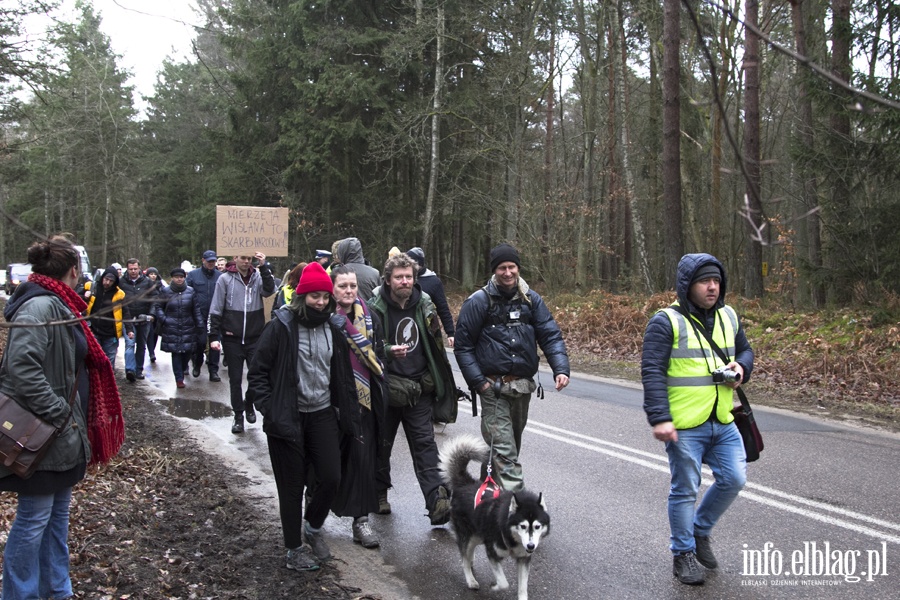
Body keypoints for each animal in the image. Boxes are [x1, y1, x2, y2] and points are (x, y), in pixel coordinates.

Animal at [438, 436, 548, 600]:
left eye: (537, 526)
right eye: (522, 526)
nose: (531, 546)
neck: (512, 538)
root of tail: (465, 483)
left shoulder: (523, 559)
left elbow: (523, 587)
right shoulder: (492, 553)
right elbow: (504, 583)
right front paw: (494, 587)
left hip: (478, 535)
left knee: (468, 553)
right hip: (469, 535)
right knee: (464, 558)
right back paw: (471, 579)